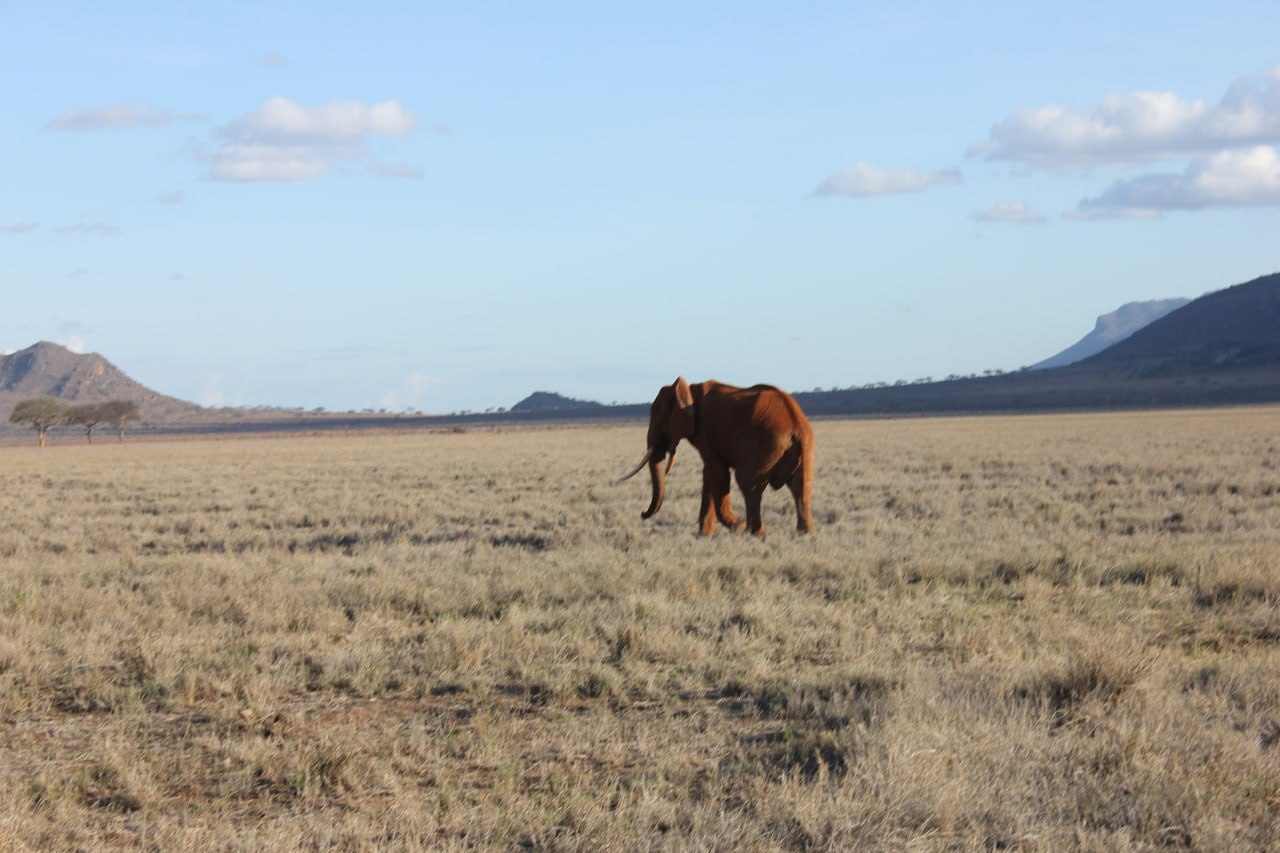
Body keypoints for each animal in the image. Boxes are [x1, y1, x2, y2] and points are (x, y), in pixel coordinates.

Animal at [622, 376, 819, 535]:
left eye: (658, 419)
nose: (642, 513)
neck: (689, 390)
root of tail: (796, 426)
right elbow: (709, 474)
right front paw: (704, 535)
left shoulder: (706, 430)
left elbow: (718, 473)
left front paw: (737, 526)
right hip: (805, 449)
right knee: (801, 488)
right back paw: (803, 535)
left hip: (763, 444)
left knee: (748, 484)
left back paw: (752, 533)